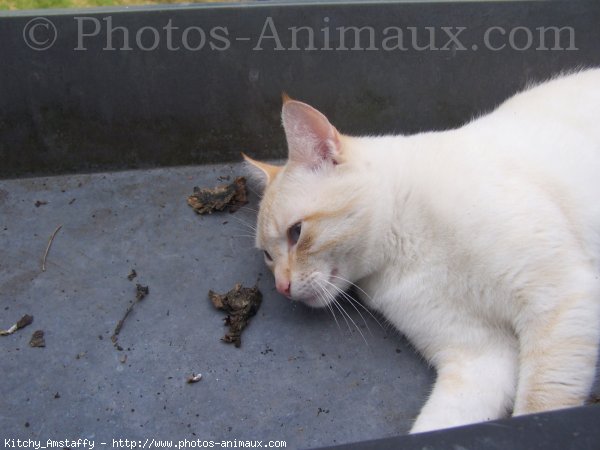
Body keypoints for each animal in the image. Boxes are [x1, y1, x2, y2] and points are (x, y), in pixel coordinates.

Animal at [243, 69, 600, 432]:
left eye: (296, 233)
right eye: (268, 256)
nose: (282, 287)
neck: (406, 250)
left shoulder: (556, 296)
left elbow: (537, 409)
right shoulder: (480, 355)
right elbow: (437, 426)